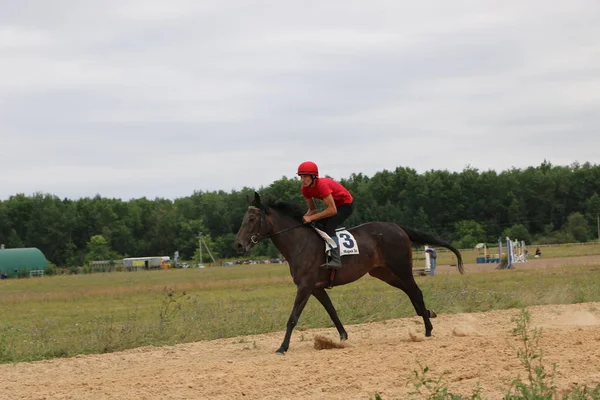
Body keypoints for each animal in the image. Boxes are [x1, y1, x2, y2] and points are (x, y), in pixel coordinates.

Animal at [234, 192, 464, 354]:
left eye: (252, 218)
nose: (238, 245)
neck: (299, 243)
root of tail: (398, 227)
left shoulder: (306, 286)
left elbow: (293, 317)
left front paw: (282, 347)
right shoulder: (316, 288)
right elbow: (332, 312)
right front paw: (343, 337)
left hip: (402, 267)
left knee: (415, 291)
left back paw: (427, 328)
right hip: (383, 273)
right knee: (410, 292)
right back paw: (428, 314)